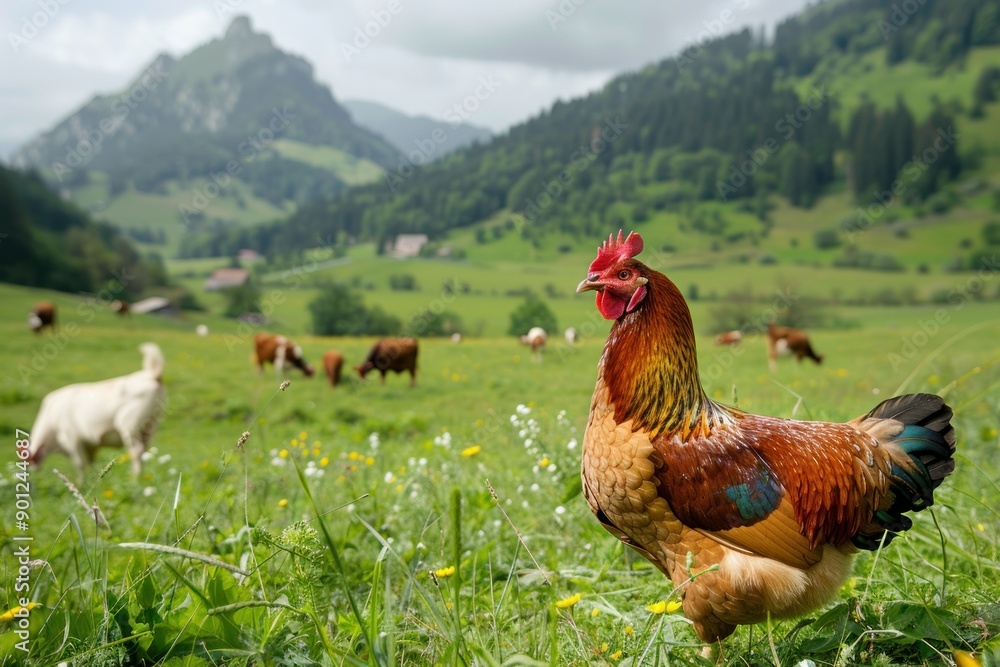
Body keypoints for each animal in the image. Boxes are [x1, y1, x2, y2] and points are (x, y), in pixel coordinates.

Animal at [28, 342, 165, 478]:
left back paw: (134, 478)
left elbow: (80, 465)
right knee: (144, 452)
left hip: (129, 427)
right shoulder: (91, 446)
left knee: (136, 452)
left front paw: (80, 482)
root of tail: (152, 375)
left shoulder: (72, 439)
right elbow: (91, 464)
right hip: (150, 428)